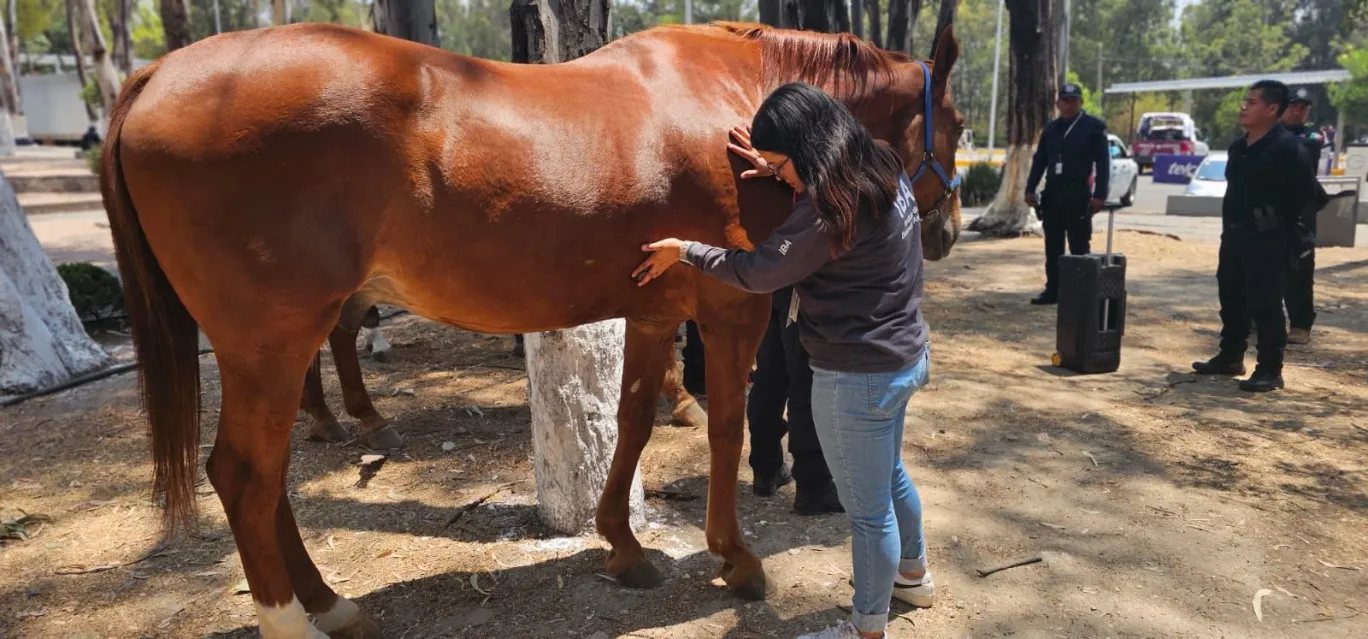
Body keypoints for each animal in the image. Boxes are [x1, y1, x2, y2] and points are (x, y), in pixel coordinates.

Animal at [102, 21, 962, 637]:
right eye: (952, 123)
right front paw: (737, 558)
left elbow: (632, 419)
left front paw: (623, 546)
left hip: (270, 348)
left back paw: (328, 600)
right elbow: (726, 427)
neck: (733, 103)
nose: (946, 230)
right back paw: (292, 620)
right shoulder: (732, 309)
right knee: (245, 474)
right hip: (274, 342)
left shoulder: (654, 310)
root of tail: (154, 77)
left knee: (264, 475)